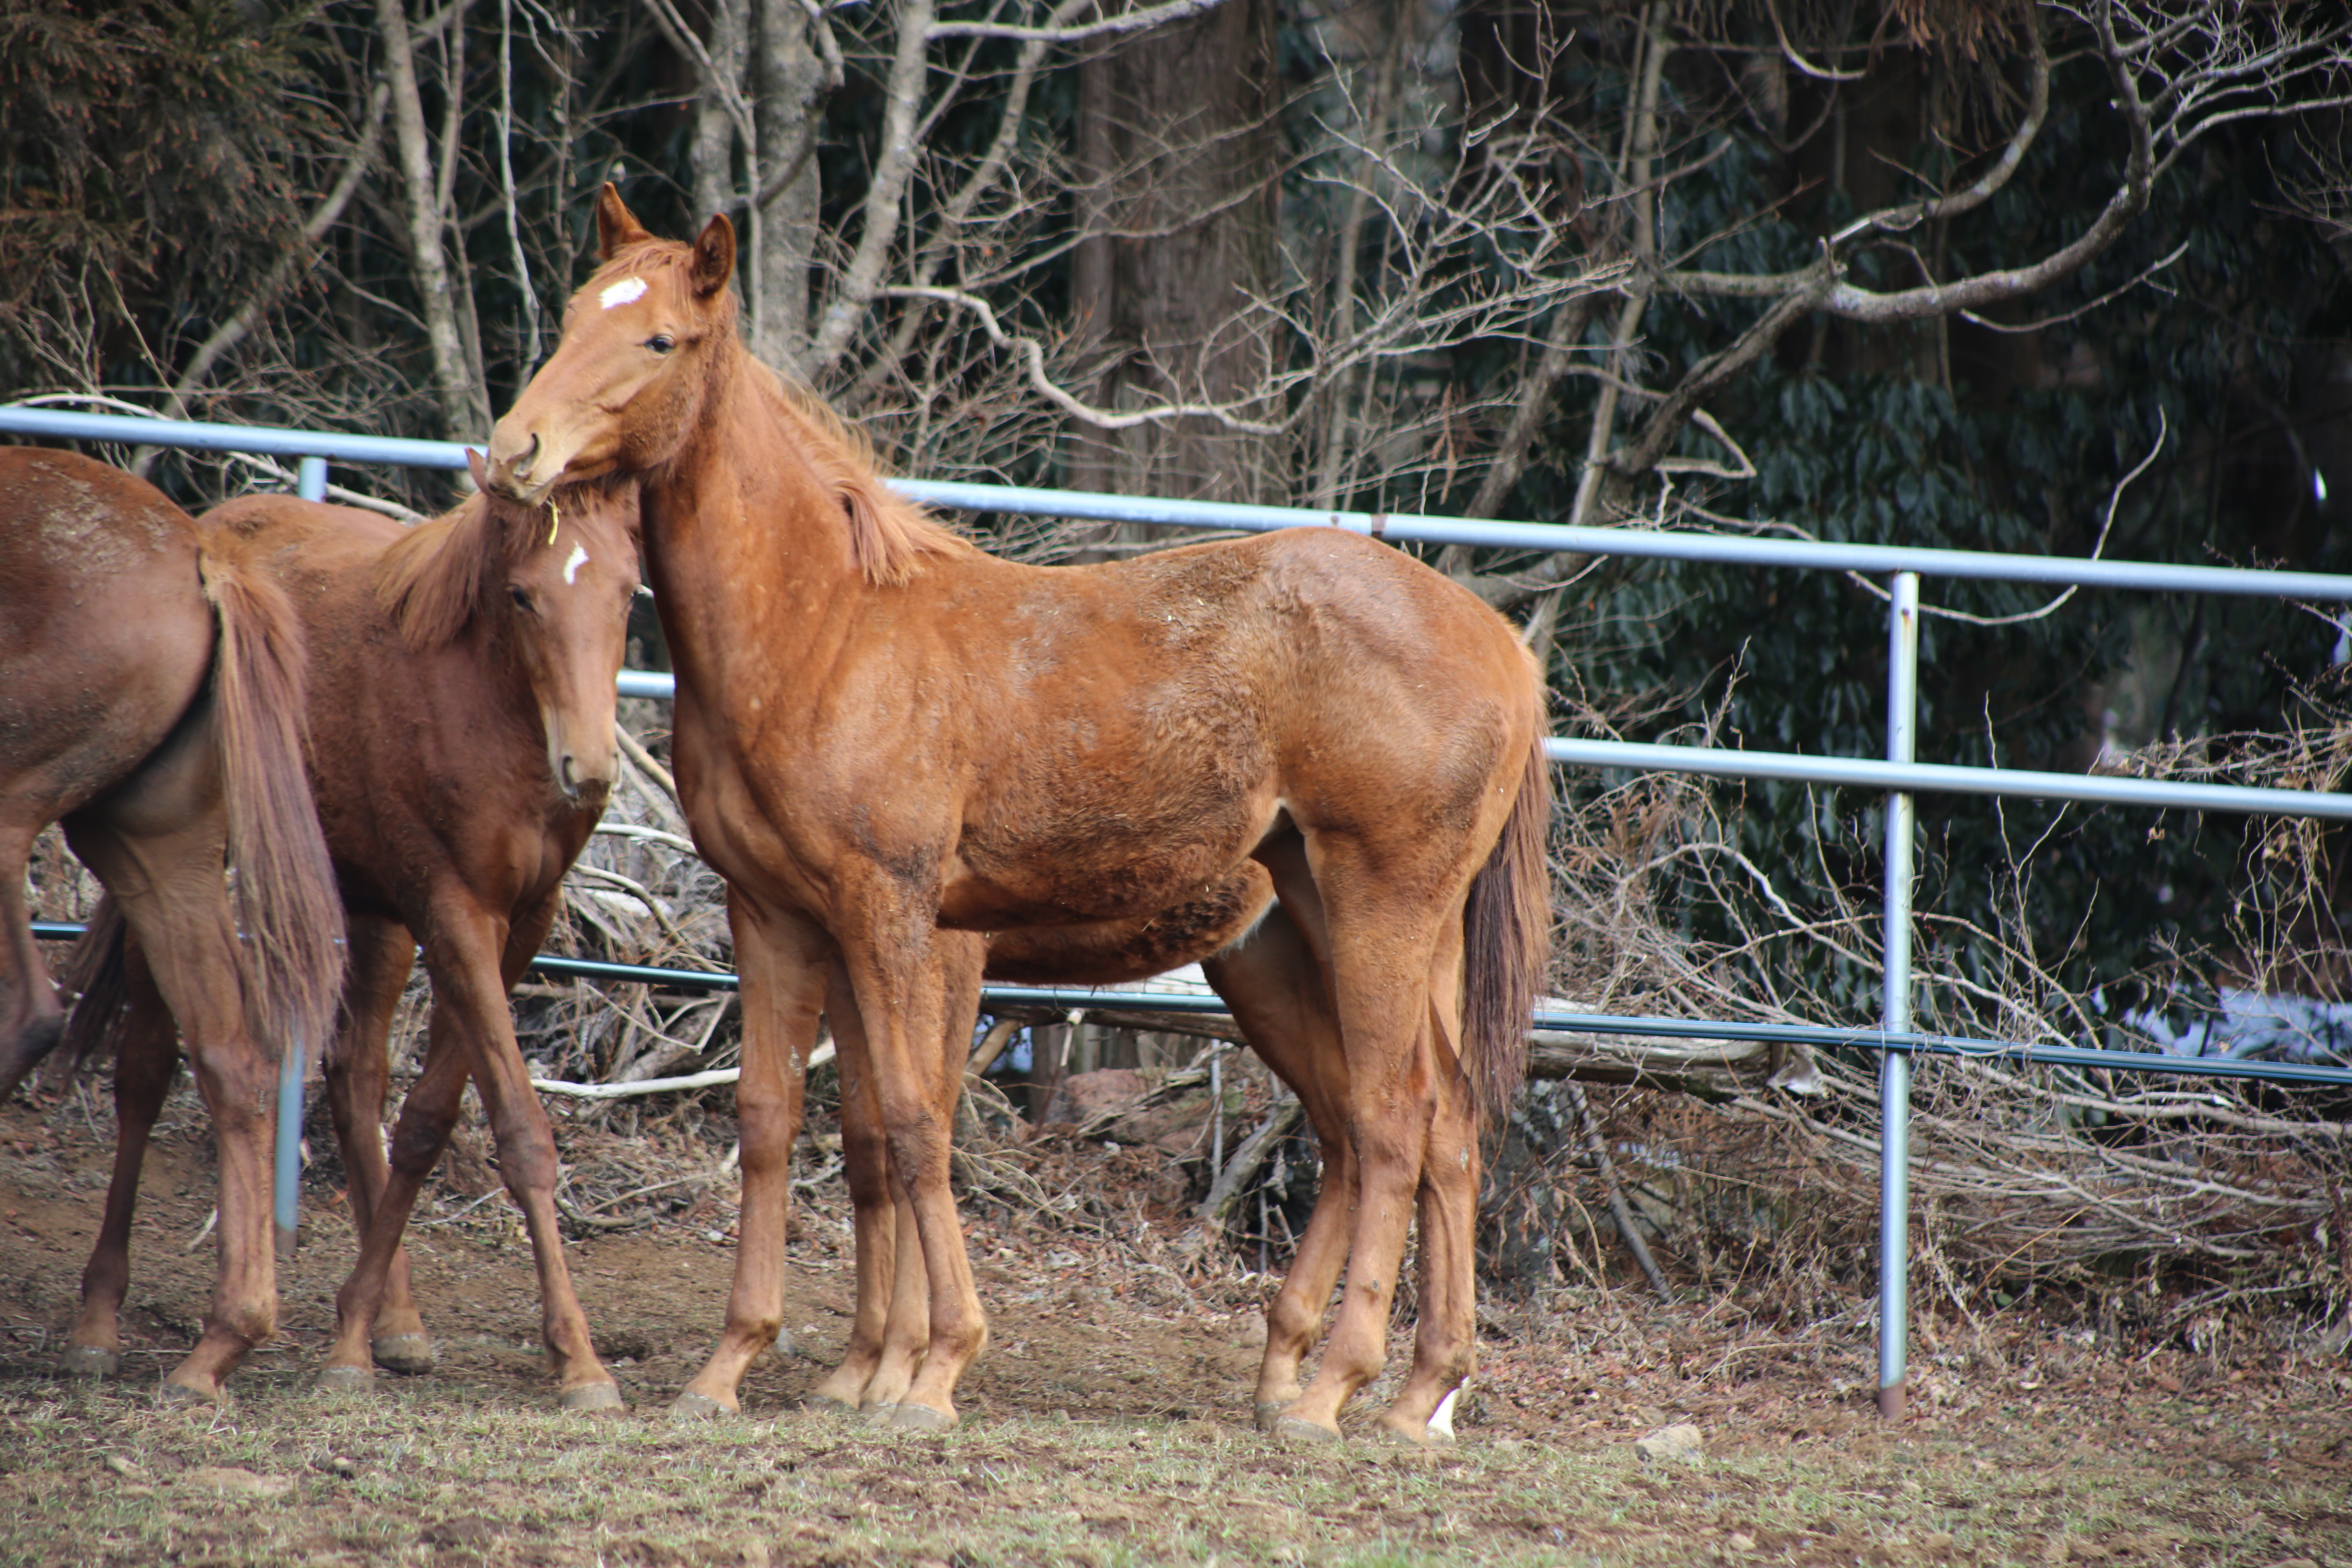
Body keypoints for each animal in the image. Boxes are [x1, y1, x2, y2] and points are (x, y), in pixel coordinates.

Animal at [0, 446, 343, 1401]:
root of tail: (203, 559)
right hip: (156, 848)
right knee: (231, 1053)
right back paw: (221, 1342)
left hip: (19, 809)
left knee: (31, 1013)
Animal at [53, 461, 644, 1420]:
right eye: (523, 596)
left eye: (629, 594)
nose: (587, 771)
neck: (484, 703)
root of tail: (205, 532)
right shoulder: (455, 913)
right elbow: (521, 1132)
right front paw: (580, 1360)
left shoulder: (517, 923)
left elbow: (430, 1119)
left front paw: (361, 1328)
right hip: (182, 867)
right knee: (143, 1073)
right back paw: (98, 1324)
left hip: (368, 912)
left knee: (354, 1079)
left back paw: (392, 1324)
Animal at [487, 184, 1552, 1448]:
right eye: (569, 317)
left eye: (659, 339)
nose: (513, 451)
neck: (826, 628)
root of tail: (1501, 646)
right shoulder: (780, 916)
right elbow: (779, 1120)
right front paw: (739, 1366)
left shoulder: (893, 916)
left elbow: (911, 1124)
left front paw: (931, 1369)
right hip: (1321, 938)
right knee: (1434, 1130)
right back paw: (1418, 1388)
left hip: (1377, 912)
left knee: (1392, 1125)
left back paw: (1333, 1388)